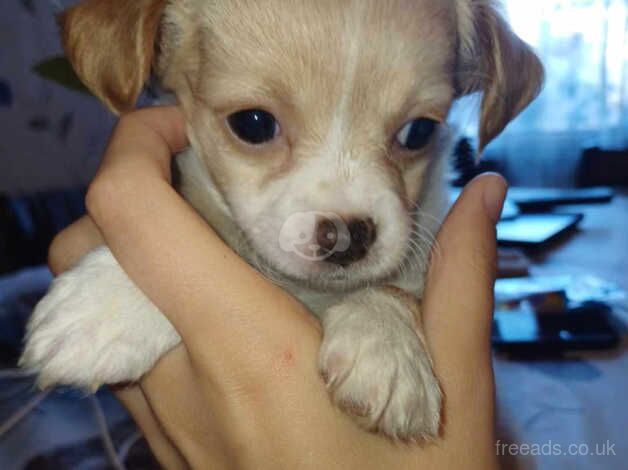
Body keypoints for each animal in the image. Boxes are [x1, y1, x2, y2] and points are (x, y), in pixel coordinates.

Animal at [19, 0, 544, 440]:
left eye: (419, 132)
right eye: (252, 124)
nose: (347, 236)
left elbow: (393, 287)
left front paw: (388, 347)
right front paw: (107, 303)